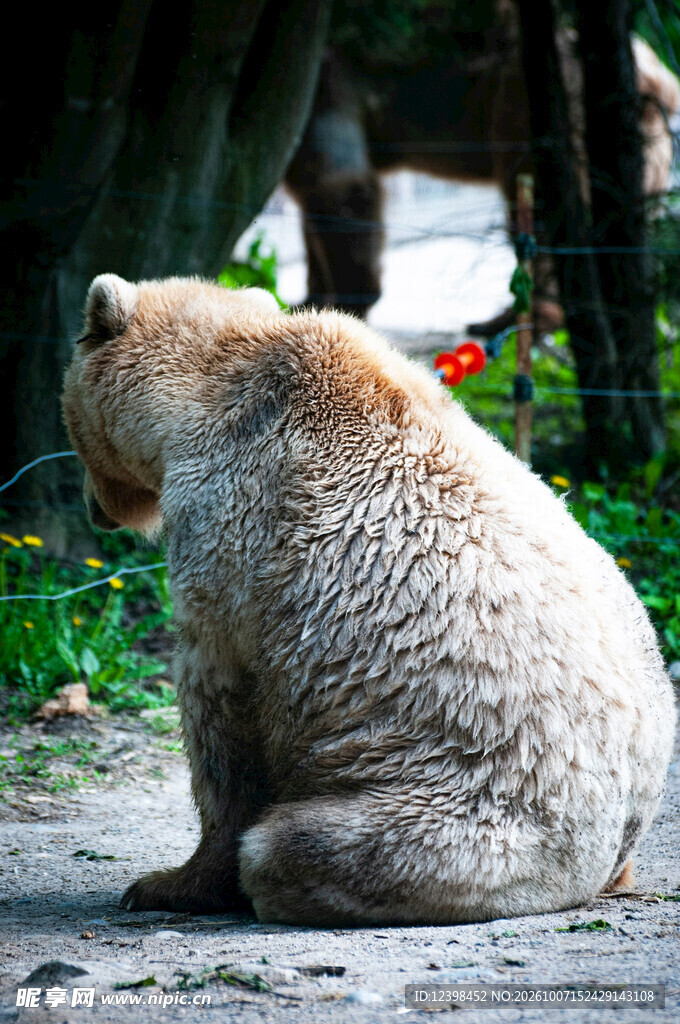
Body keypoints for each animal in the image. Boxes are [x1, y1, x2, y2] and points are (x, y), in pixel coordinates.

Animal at [62, 273, 676, 925]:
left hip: (466, 809)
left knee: (294, 846)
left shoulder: (233, 540)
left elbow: (223, 721)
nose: (93, 507)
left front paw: (166, 884)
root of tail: (608, 852)